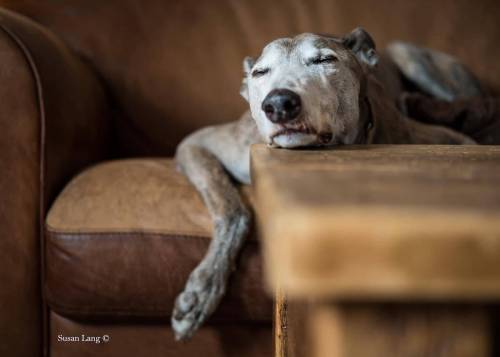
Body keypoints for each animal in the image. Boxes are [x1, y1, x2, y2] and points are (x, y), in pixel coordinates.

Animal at [173, 26, 480, 338]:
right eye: (259, 72)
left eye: (324, 60)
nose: (278, 103)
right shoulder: (197, 144)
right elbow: (234, 211)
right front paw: (201, 290)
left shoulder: (454, 140)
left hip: (414, 59)